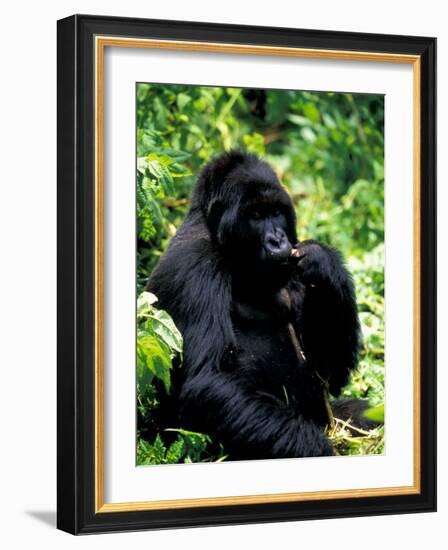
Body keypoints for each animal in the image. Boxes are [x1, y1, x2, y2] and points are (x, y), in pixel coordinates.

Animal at [149, 152, 362, 462]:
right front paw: (318, 449)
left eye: (276, 212)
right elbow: (208, 380)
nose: (277, 240)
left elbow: (329, 370)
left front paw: (323, 264)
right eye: (256, 216)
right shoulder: (193, 267)